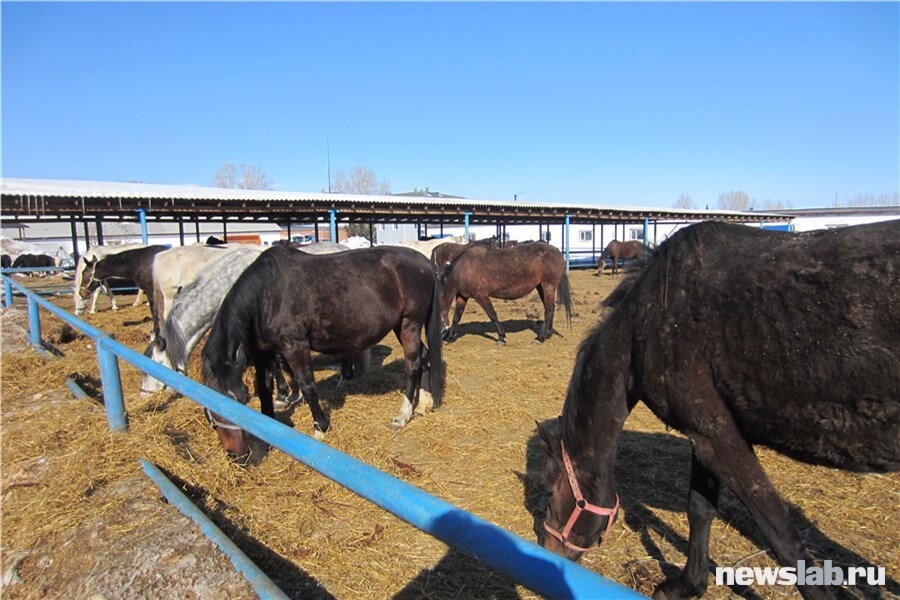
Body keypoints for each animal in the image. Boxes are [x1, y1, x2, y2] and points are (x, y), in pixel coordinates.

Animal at [202, 246, 444, 458]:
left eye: (239, 400)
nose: (236, 454)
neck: (267, 294)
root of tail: (424, 262)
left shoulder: (295, 346)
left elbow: (308, 387)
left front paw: (320, 428)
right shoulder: (265, 355)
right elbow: (264, 390)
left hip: (410, 324)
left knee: (412, 365)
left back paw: (403, 416)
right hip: (400, 326)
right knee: (424, 358)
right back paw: (423, 404)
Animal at [436, 238, 568, 342]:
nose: (440, 338)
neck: (463, 269)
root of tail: (557, 251)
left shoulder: (480, 295)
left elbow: (492, 314)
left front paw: (501, 337)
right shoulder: (462, 296)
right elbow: (456, 317)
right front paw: (450, 337)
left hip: (548, 286)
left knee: (549, 310)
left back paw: (540, 337)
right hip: (541, 287)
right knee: (550, 308)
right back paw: (548, 333)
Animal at [536, 220, 896, 600]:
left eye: (548, 490)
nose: (547, 549)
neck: (651, 320)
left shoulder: (722, 442)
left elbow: (784, 539)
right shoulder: (706, 434)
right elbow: (700, 508)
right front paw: (688, 584)